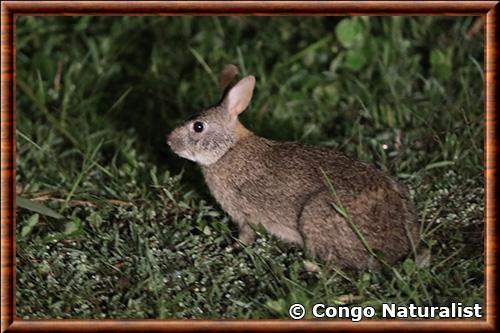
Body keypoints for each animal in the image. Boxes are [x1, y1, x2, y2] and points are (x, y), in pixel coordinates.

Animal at [167, 63, 418, 268]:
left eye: (198, 127)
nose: (168, 141)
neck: (227, 150)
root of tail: (397, 246)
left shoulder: (244, 215)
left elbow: (246, 235)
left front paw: (232, 248)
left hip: (316, 214)